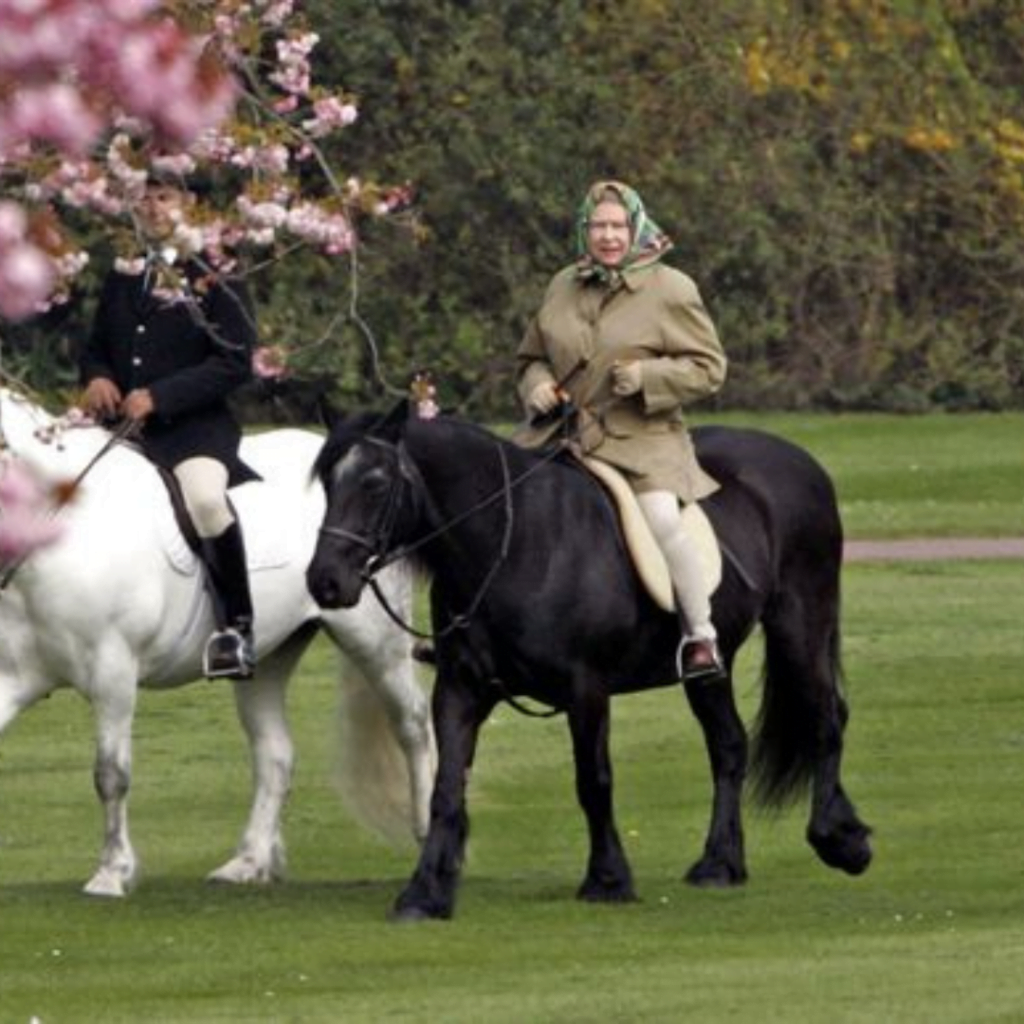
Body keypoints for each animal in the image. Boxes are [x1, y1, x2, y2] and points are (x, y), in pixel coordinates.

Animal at [0, 387, 436, 901]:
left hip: (375, 642)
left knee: (412, 724)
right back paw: (248, 862)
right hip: (267, 658)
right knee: (275, 755)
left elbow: (111, 775)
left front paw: (112, 872)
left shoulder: (113, 674)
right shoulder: (12, 678)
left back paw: (427, 832)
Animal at [305, 405, 872, 921]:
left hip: (800, 624)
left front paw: (608, 880)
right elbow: (446, 789)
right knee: (729, 746)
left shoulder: (586, 689)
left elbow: (593, 781)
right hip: (711, 665)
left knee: (826, 719)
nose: (324, 581)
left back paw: (839, 841)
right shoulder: (461, 689)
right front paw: (425, 893)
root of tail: (799, 460)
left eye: (375, 483)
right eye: (328, 484)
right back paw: (720, 864)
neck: (515, 542)